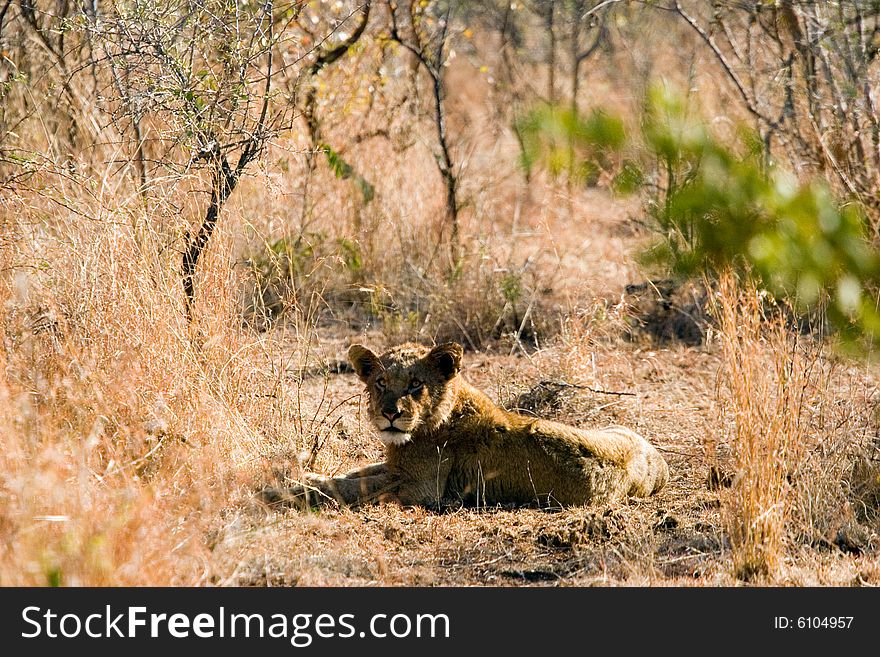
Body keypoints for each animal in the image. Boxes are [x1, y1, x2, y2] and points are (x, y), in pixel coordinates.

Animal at [264, 340, 672, 510]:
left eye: (415, 385)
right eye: (380, 382)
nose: (390, 413)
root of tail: (661, 462)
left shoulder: (421, 488)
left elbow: (349, 487)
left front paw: (282, 489)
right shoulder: (396, 466)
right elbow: (355, 473)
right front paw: (299, 473)